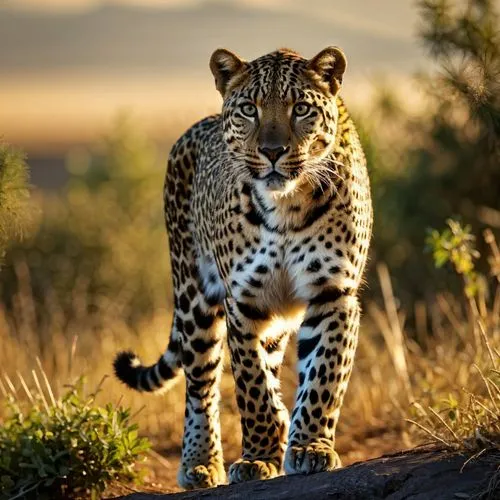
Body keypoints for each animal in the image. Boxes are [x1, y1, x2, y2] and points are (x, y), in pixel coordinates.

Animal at [113, 45, 372, 490]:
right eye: (250, 109)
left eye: (301, 108)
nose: (272, 151)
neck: (287, 205)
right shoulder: (244, 300)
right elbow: (252, 385)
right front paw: (258, 457)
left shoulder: (333, 292)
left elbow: (323, 375)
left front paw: (309, 447)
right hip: (194, 298)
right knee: (200, 385)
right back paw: (200, 463)